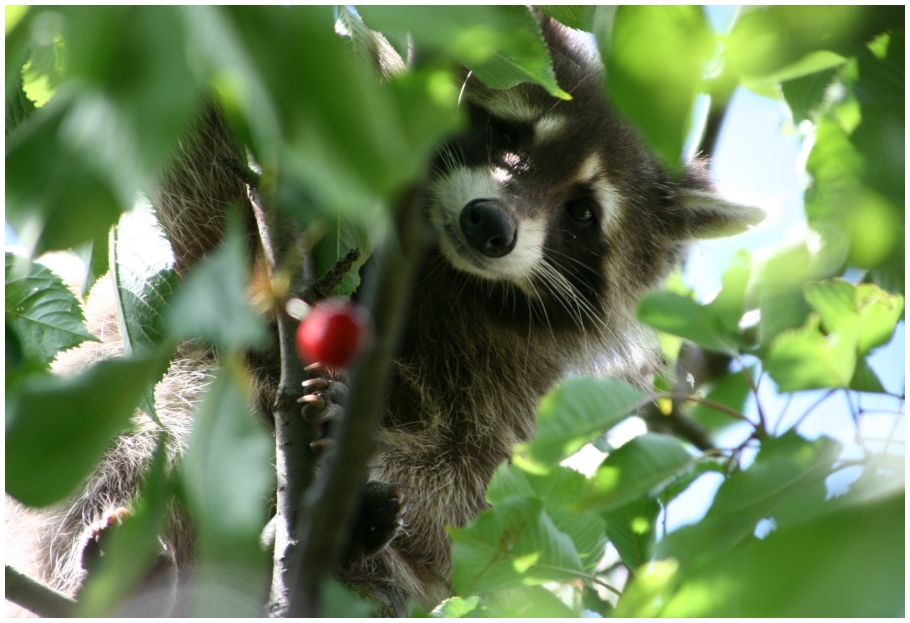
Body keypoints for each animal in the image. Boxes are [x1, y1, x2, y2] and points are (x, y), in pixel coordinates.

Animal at [5, 9, 764, 620]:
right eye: (506, 132)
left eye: (581, 212)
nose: (490, 224)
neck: (445, 267)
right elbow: (207, 188)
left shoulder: (521, 386)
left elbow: (465, 484)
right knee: (121, 449)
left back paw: (352, 537)